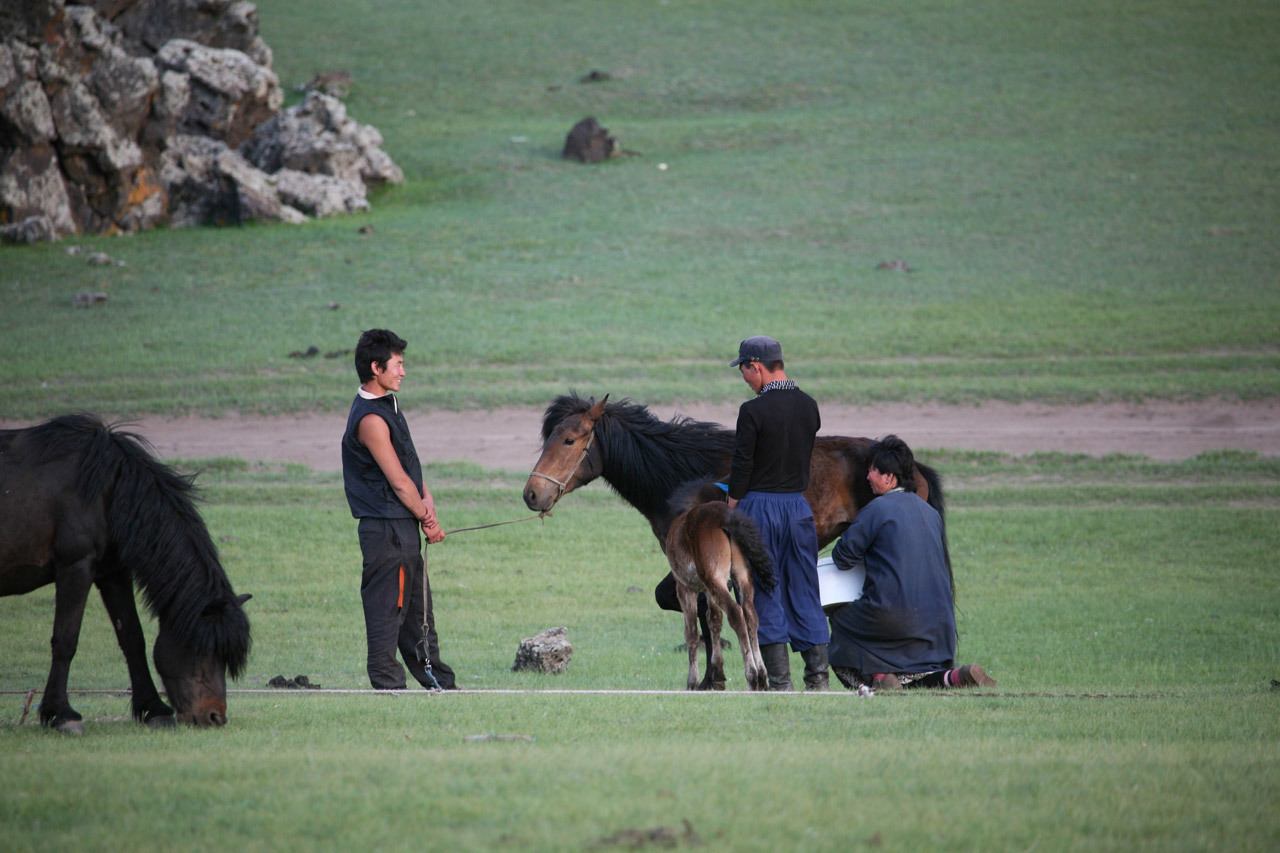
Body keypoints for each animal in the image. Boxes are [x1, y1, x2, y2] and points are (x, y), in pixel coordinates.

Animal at [0, 415, 252, 733]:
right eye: (203, 648)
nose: (215, 717)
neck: (104, 489)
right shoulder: (76, 567)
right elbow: (66, 640)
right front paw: (61, 714)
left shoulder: (113, 573)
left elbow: (133, 638)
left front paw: (153, 709)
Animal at [663, 479, 772, 691]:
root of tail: (724, 517)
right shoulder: (708, 590)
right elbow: (714, 620)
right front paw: (718, 675)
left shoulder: (685, 588)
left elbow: (691, 631)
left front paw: (692, 682)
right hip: (740, 577)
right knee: (750, 615)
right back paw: (762, 677)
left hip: (716, 579)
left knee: (736, 613)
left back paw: (752, 675)